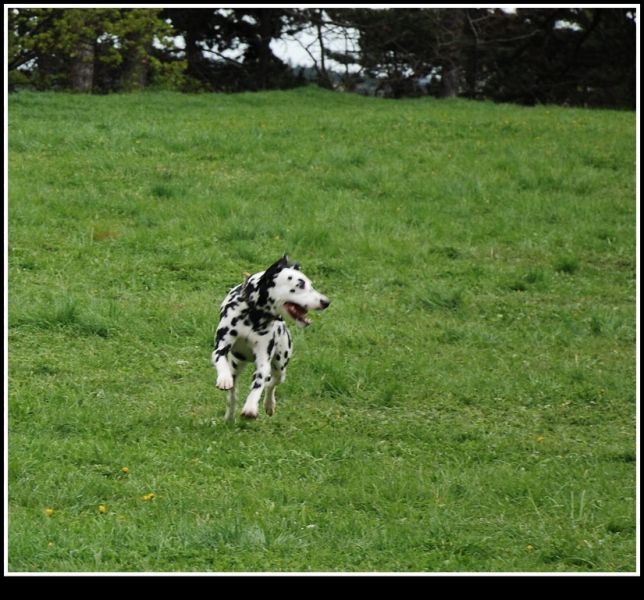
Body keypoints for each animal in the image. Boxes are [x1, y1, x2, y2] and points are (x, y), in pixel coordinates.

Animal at [212, 255, 330, 422]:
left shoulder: (263, 361)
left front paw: (250, 407)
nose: (326, 302)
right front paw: (223, 379)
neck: (254, 315)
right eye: (300, 285)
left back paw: (269, 404)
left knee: (271, 384)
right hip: (236, 365)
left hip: (280, 365)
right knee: (233, 393)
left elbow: (259, 383)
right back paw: (229, 414)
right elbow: (220, 360)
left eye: (311, 284)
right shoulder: (221, 347)